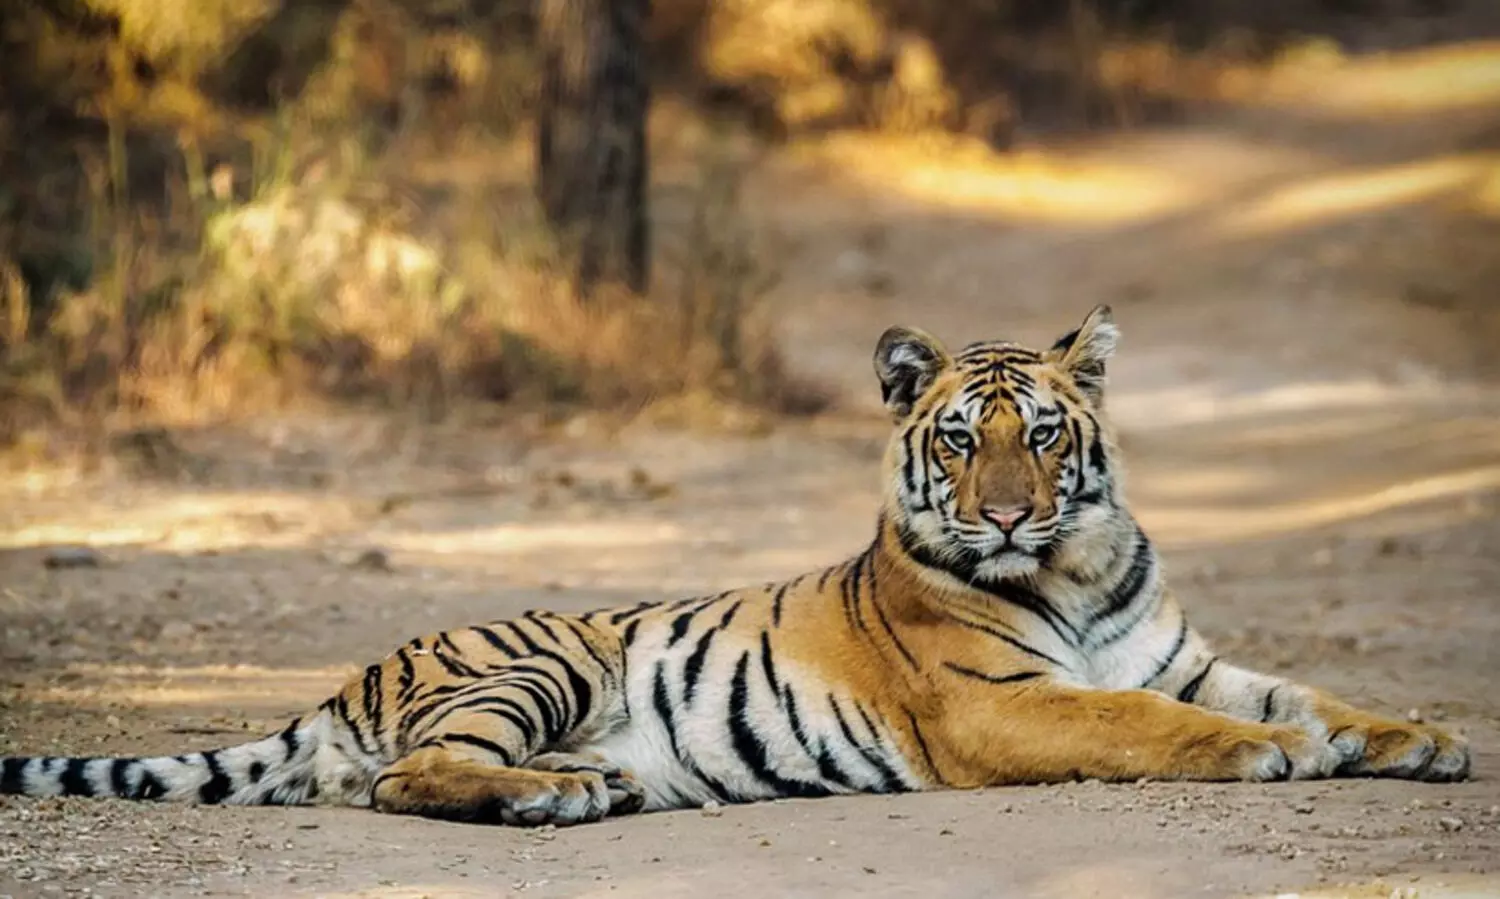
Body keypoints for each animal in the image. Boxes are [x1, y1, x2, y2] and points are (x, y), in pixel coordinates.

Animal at [0, 305, 1471, 826]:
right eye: (961, 436)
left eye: (1044, 434)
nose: (1005, 516)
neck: (1077, 561)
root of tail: (352, 675)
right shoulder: (999, 703)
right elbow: (1142, 721)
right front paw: (1267, 756)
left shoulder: (1186, 655)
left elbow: (1308, 692)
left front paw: (1424, 735)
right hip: (538, 658)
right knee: (404, 776)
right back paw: (557, 795)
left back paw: (594, 787)